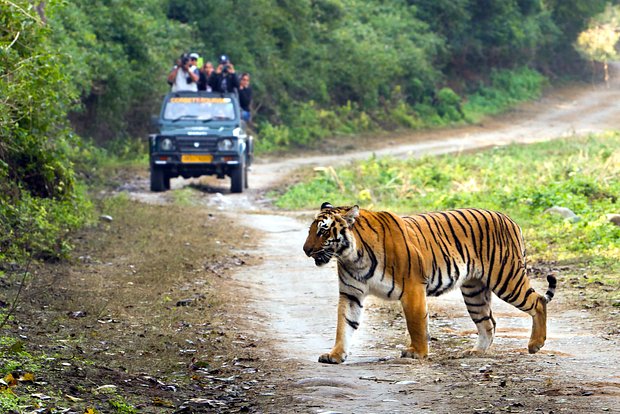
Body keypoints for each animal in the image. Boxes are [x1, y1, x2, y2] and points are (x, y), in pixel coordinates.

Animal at [302, 202, 556, 364]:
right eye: (311, 230)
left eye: (323, 231)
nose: (305, 250)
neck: (352, 256)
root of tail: (510, 219)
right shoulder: (351, 294)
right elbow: (344, 325)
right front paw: (335, 355)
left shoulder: (412, 287)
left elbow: (416, 323)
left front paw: (418, 352)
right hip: (474, 291)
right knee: (489, 323)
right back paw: (475, 352)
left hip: (506, 278)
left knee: (538, 301)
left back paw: (535, 344)